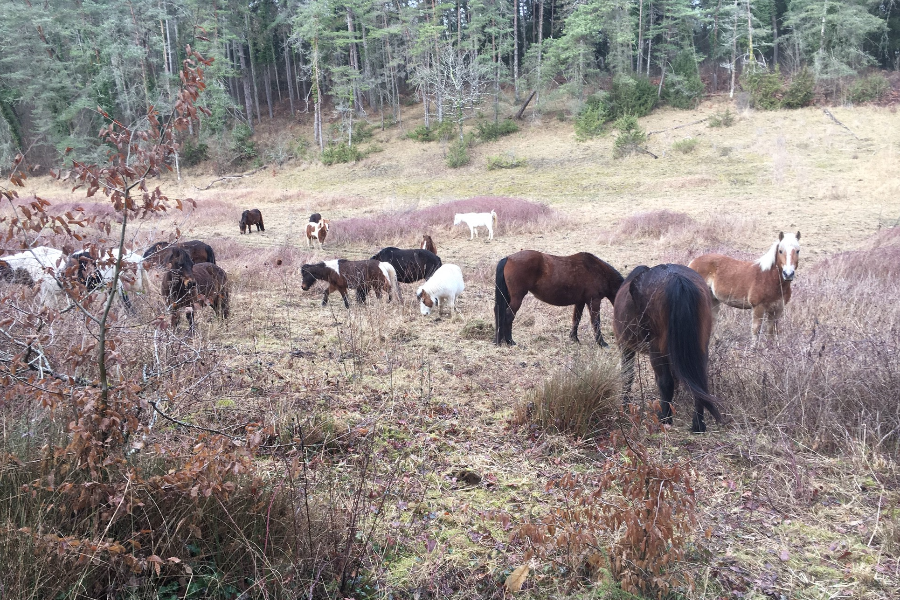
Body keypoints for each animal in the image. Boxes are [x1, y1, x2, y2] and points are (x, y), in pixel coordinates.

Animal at [492, 251, 624, 346]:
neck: (598, 270)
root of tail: (508, 258)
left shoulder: (580, 302)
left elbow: (576, 319)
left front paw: (574, 338)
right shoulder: (594, 300)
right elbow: (596, 321)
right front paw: (601, 342)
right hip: (517, 298)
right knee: (508, 316)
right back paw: (510, 341)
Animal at [612, 264, 724, 434]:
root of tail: (678, 279)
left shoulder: (626, 347)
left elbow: (627, 376)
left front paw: (624, 407)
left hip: (657, 349)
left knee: (665, 381)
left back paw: (665, 419)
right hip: (700, 347)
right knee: (700, 382)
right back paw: (698, 424)